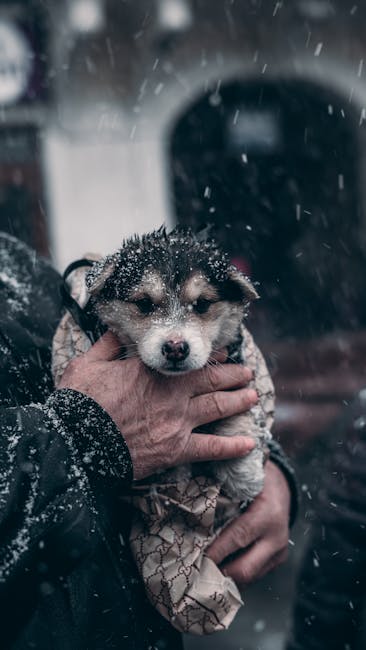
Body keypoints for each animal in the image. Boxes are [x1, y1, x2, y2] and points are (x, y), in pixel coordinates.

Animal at [85, 228, 268, 502]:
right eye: (144, 303)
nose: (175, 348)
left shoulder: (233, 364)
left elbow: (234, 413)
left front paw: (242, 472)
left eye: (202, 304)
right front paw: (171, 474)